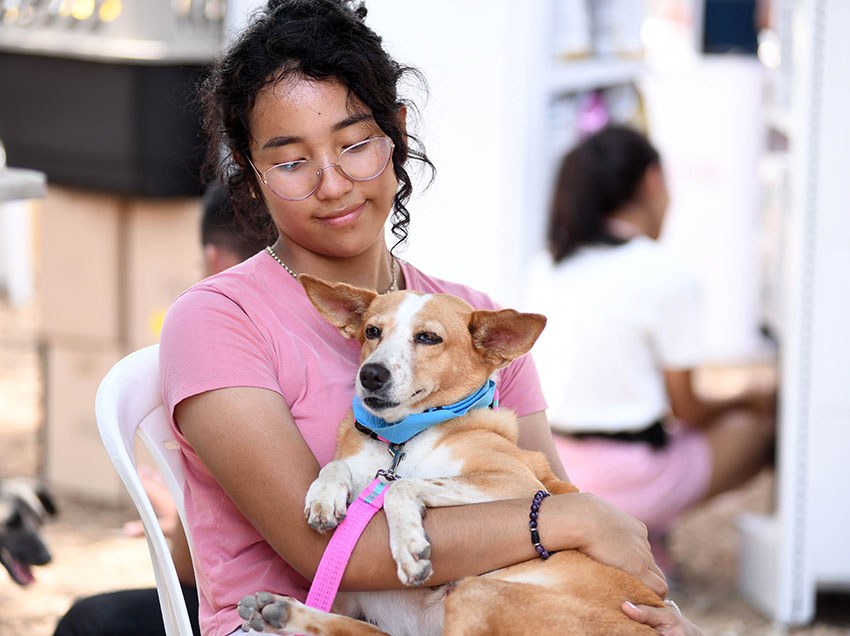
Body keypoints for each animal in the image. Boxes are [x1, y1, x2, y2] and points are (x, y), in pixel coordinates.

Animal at [238, 278, 664, 636]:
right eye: (372, 331)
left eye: (428, 338)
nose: (370, 374)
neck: (402, 439)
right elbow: (336, 464)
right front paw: (323, 497)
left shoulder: (514, 481)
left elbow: (402, 487)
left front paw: (408, 544)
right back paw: (281, 611)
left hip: (477, 593)